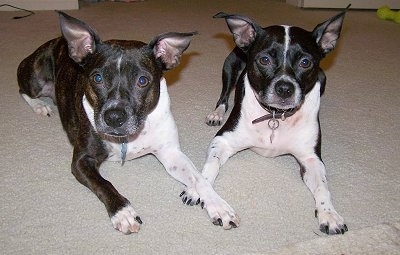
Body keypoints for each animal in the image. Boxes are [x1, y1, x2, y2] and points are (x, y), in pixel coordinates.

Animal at [202, 8, 348, 234]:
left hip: (323, 78)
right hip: (230, 66)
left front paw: (329, 214)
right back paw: (216, 113)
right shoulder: (223, 140)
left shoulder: (311, 159)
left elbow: (323, 188)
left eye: (305, 62)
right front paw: (200, 195)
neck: (275, 116)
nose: (285, 88)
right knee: (224, 94)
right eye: (264, 60)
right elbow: (209, 168)